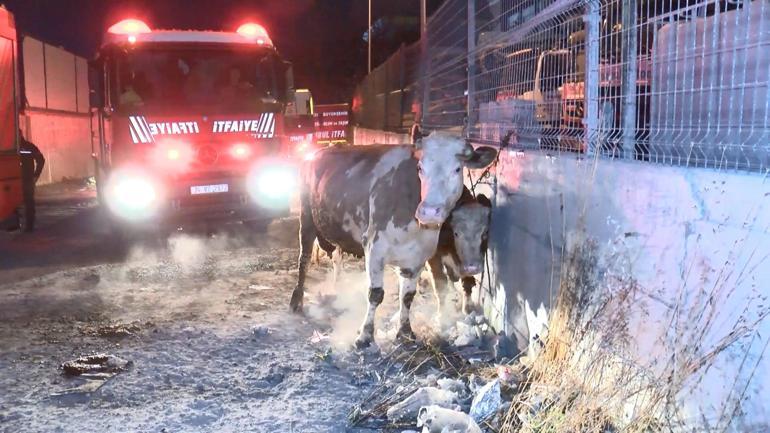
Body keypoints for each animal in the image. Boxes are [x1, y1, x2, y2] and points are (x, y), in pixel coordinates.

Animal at [290, 132, 498, 348]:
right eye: (420, 168)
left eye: (457, 169)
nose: (429, 212)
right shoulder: (374, 248)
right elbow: (375, 294)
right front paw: (365, 335)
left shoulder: (417, 257)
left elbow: (407, 296)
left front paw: (405, 332)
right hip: (306, 217)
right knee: (304, 259)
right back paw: (297, 299)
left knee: (336, 257)